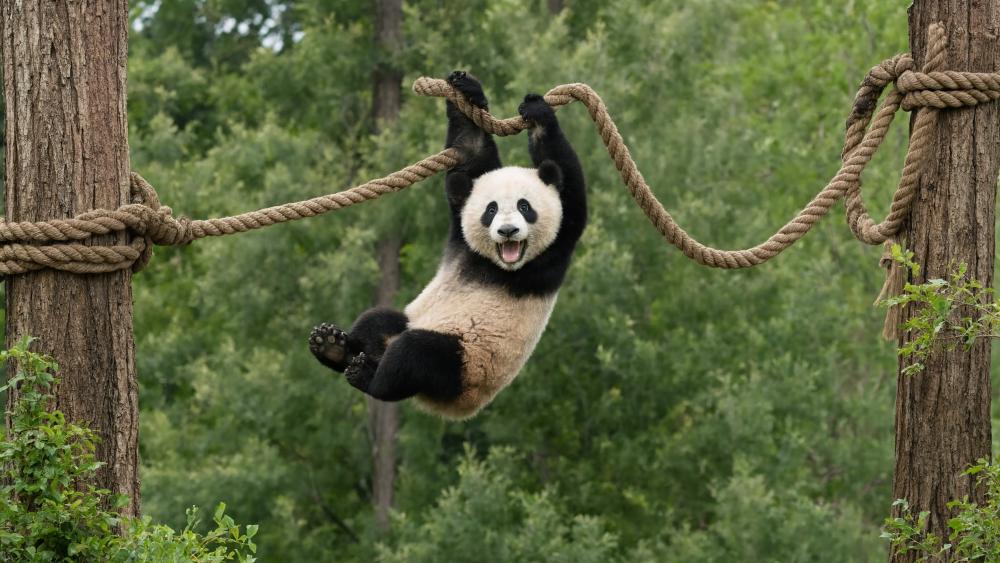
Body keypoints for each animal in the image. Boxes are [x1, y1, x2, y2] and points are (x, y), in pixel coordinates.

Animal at [308, 71, 587, 419]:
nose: (508, 231)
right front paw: (466, 89)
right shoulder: (461, 236)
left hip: (464, 365)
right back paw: (333, 347)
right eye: (491, 210)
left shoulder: (557, 247)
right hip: (416, 322)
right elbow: (471, 152)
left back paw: (368, 377)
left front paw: (538, 114)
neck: (494, 264)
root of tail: (450, 406)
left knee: (414, 355)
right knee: (376, 321)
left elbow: (571, 192)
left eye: (525, 207)